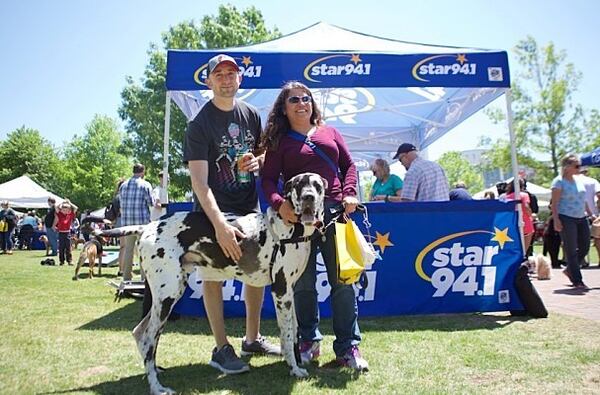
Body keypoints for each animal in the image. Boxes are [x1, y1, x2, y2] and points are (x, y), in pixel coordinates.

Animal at [98, 172, 326, 395]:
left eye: (317, 186)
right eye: (298, 185)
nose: (308, 197)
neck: (290, 227)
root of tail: (147, 226)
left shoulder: (289, 293)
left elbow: (293, 331)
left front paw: (294, 361)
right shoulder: (281, 291)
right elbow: (287, 335)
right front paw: (294, 368)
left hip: (165, 297)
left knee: (139, 333)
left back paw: (154, 370)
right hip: (167, 297)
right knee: (148, 338)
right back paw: (157, 387)